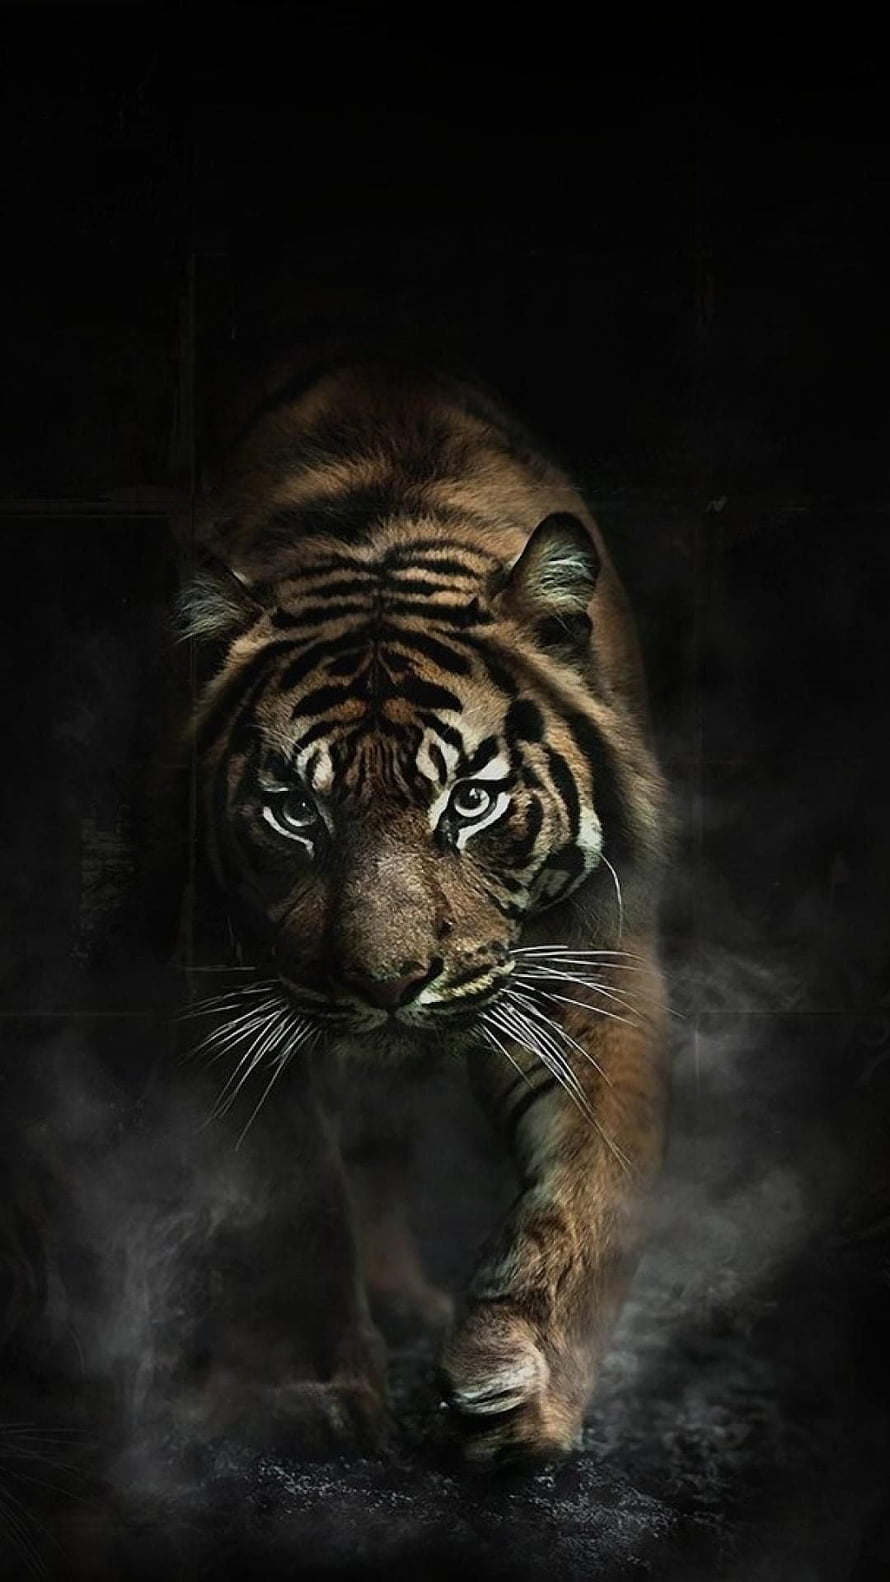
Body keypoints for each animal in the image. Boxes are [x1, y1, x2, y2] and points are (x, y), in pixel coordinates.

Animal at [174, 331, 671, 1467]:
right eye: (294, 813)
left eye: (470, 800)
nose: (389, 982)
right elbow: (298, 1198)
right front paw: (317, 1391)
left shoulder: (598, 962)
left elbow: (590, 1186)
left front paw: (521, 1386)